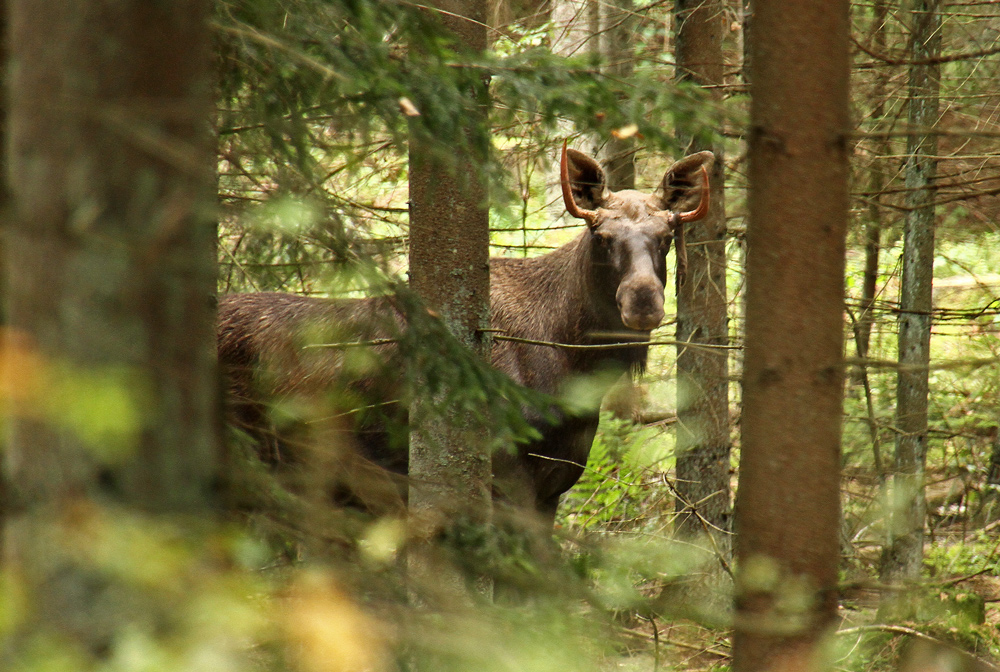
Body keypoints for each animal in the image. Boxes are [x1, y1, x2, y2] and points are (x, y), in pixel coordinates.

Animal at [221, 144, 712, 528]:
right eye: (602, 234)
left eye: (666, 233)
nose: (642, 300)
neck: (575, 367)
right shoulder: (505, 476)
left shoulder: (554, 485)